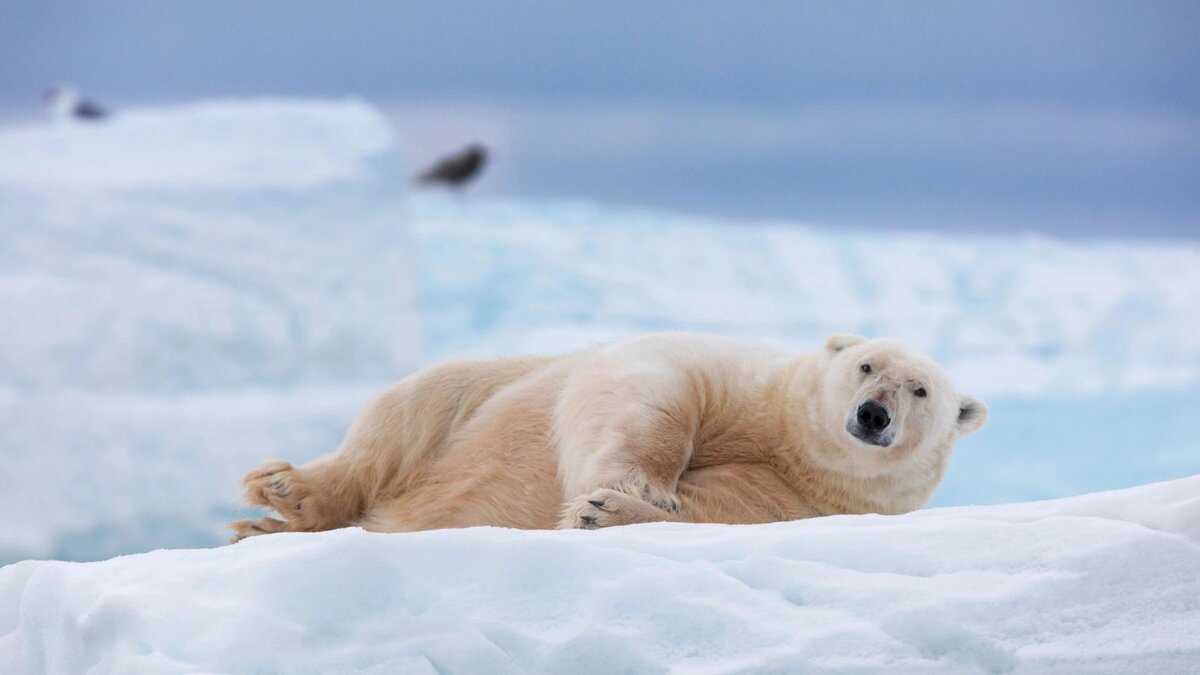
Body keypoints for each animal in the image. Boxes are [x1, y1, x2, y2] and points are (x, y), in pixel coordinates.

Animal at [226, 329, 984, 538]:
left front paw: (607, 510)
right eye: (867, 364)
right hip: (486, 387)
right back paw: (288, 494)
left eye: (922, 390)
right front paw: (634, 484)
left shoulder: (800, 499)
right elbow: (654, 390)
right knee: (411, 410)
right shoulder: (742, 380)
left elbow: (714, 511)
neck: (791, 442)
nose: (872, 413)